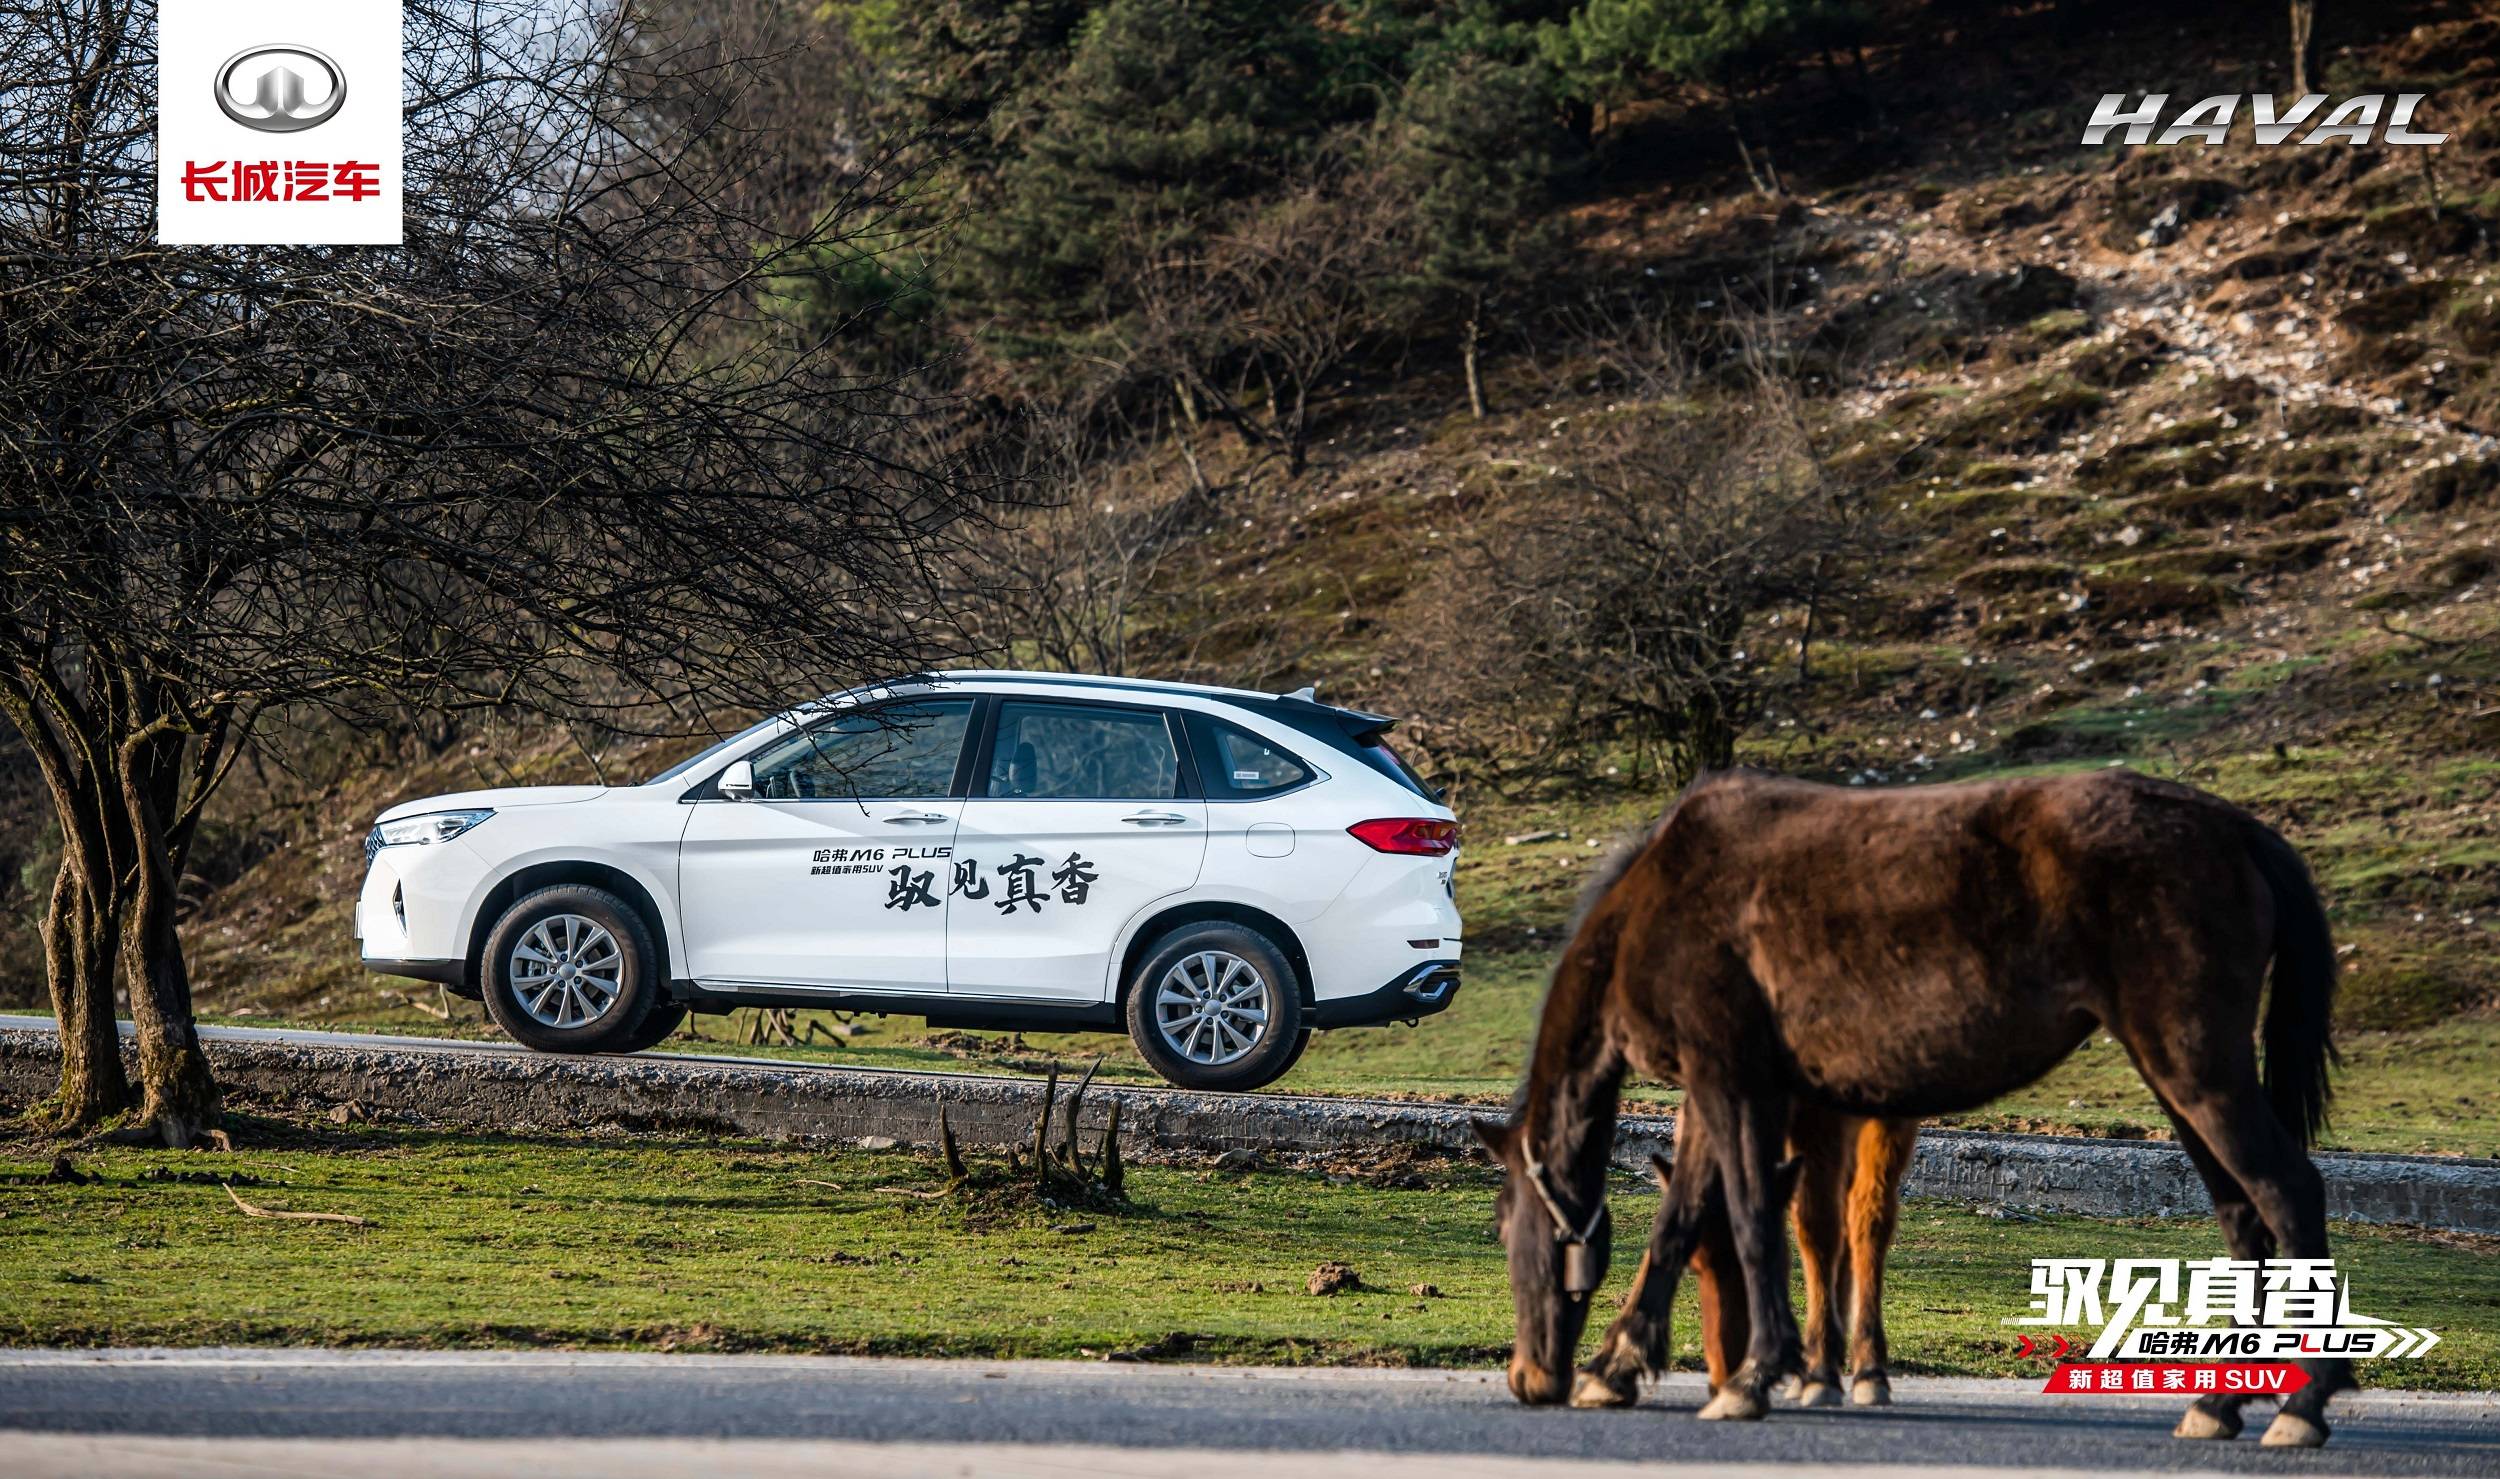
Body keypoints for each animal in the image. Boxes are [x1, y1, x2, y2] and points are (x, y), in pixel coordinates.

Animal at [1470, 769, 2350, 1449]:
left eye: (1508, 1228)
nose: (1528, 1376)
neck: (1662, 898)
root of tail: (2238, 828)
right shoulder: (1724, 1091)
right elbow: (1682, 1220)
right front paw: (1618, 1365)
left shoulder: (1727, 1081)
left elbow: (1752, 1217)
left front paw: (1753, 1375)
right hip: (2177, 1081)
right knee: (2243, 1216)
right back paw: (2221, 1400)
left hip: (2195, 1066)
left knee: (2288, 1192)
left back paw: (2303, 1403)